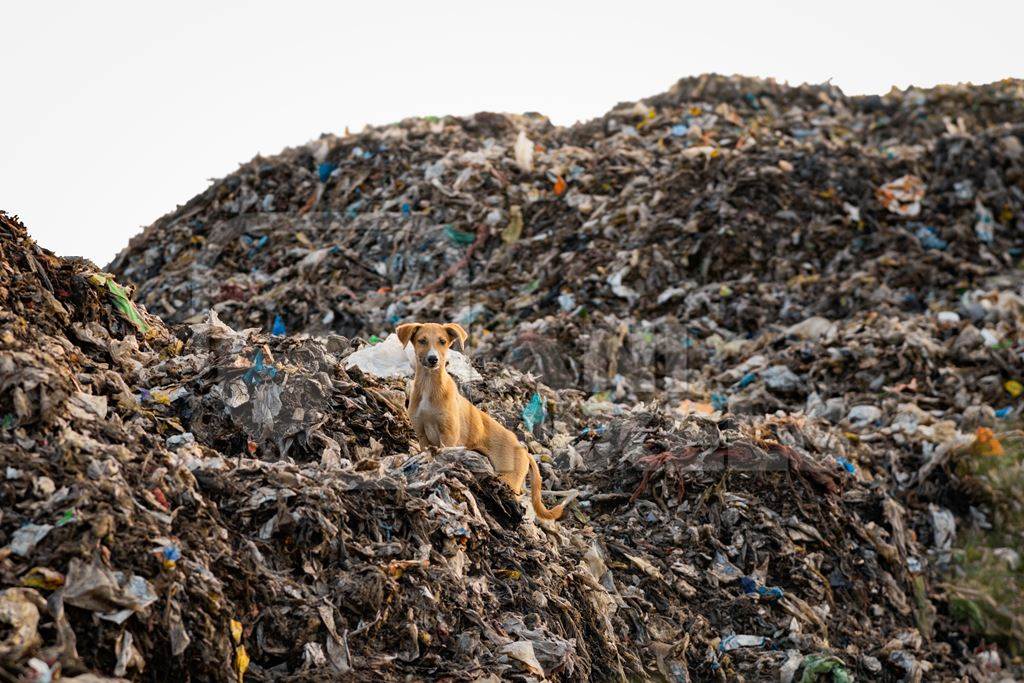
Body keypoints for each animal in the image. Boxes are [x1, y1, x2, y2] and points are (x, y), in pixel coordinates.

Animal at [397, 323, 569, 520]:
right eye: (422, 341)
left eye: (442, 341)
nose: (433, 359)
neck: (429, 385)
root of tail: (525, 452)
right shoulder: (422, 435)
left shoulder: (448, 437)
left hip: (508, 480)